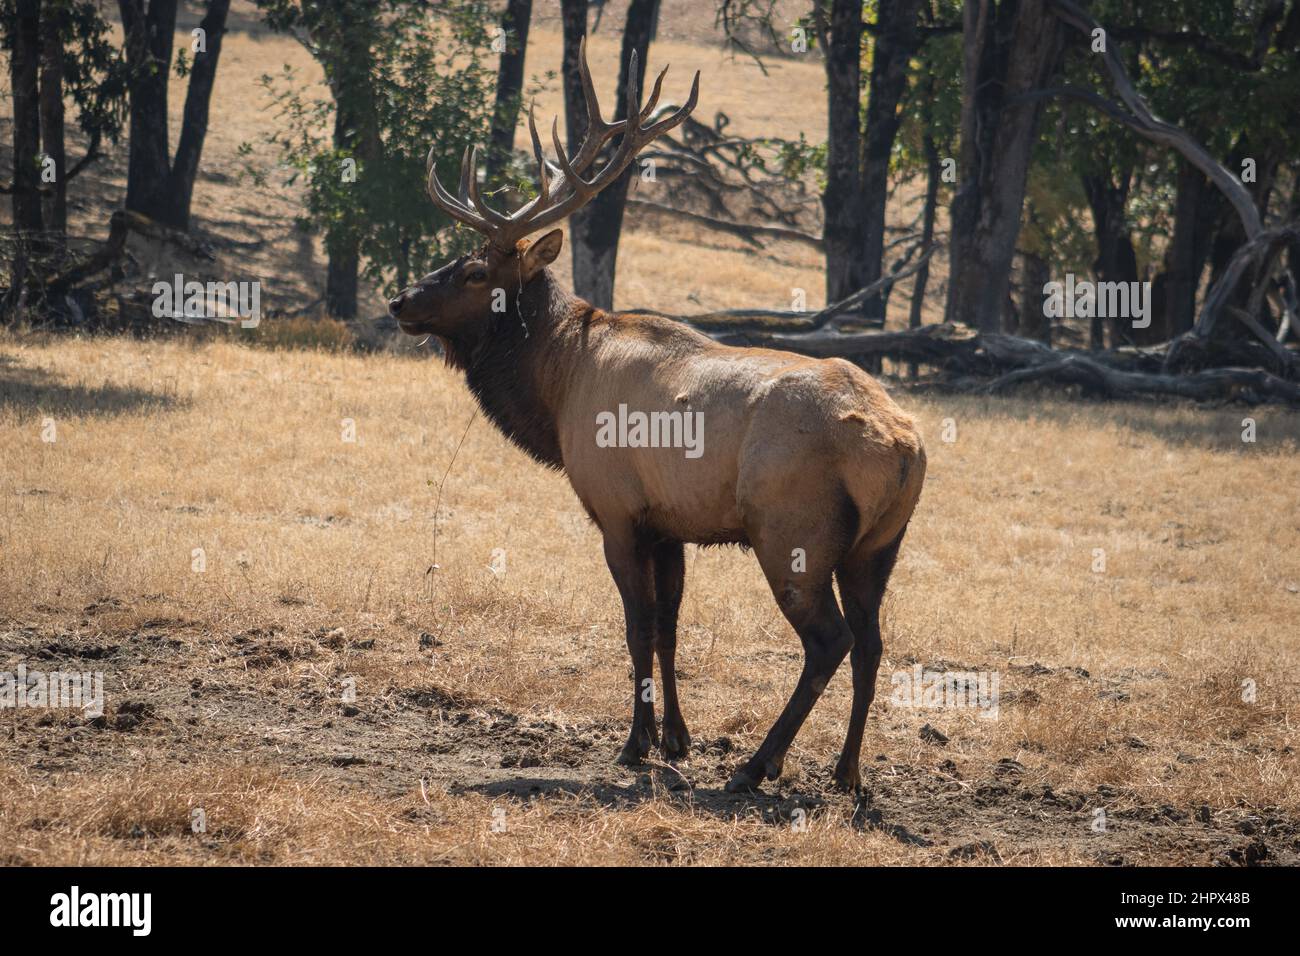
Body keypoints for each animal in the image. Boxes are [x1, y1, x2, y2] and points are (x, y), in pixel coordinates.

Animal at [388, 41, 926, 793]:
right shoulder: (671, 523)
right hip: (878, 546)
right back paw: (847, 773)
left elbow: (636, 627)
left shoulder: (617, 511)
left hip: (792, 533)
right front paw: (677, 739)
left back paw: (758, 765)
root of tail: (902, 448)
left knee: (832, 641)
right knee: (874, 643)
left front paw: (635, 744)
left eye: (473, 271)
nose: (399, 301)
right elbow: (671, 627)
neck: (556, 386)